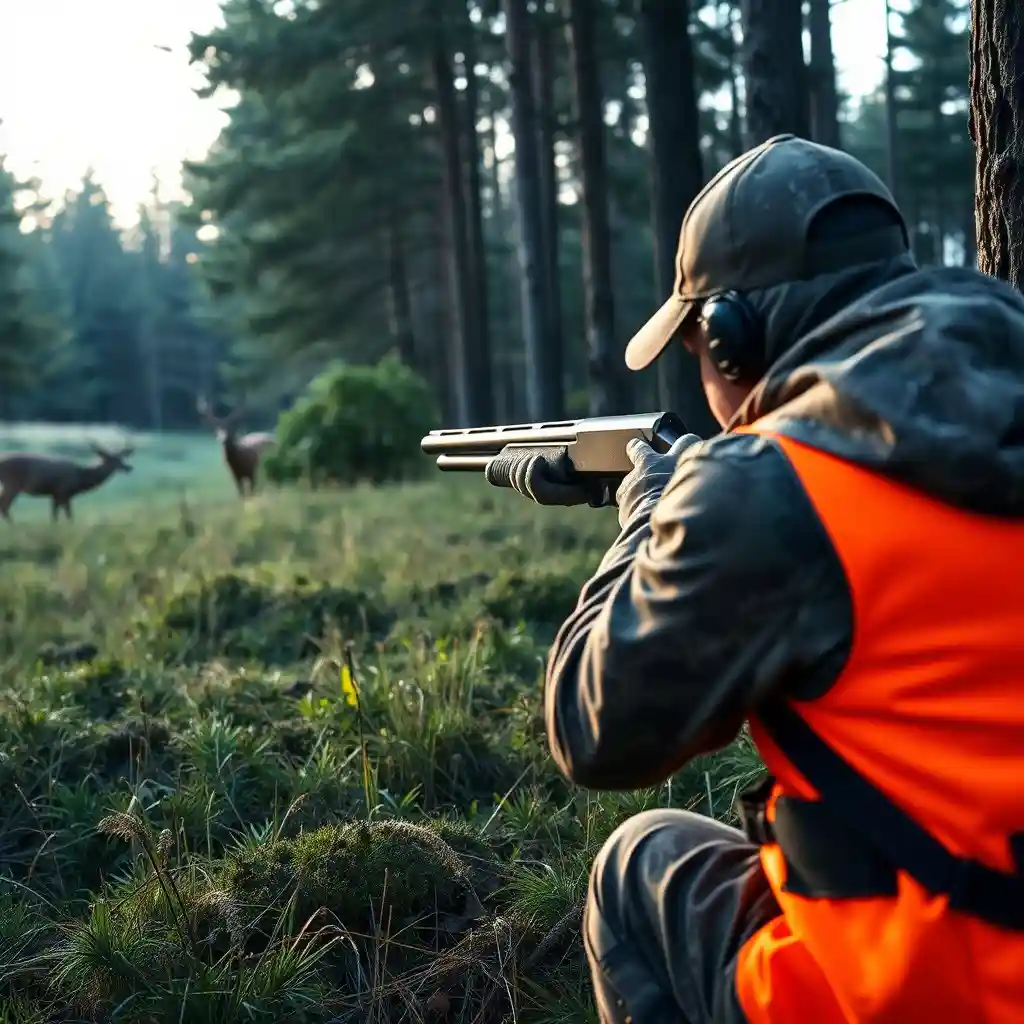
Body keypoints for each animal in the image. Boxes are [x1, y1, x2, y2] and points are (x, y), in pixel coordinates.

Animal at [0, 442, 135, 524]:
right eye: (112, 460)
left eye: (121, 458)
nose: (128, 468)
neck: (81, 477)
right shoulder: (64, 492)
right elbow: (69, 516)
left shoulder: (55, 494)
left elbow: (54, 516)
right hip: (12, 483)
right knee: (4, 506)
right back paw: (14, 526)